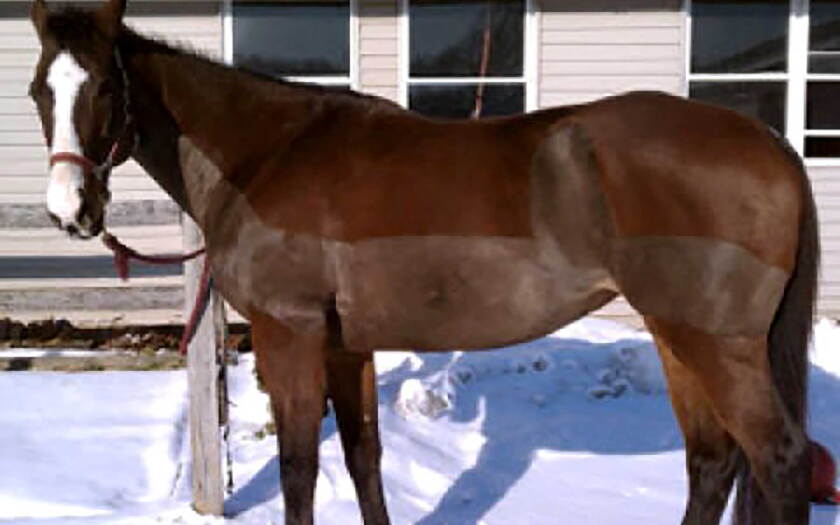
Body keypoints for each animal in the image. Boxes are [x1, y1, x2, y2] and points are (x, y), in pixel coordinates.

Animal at [28, 0, 819, 523]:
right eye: (39, 89)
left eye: (105, 87)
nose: (71, 209)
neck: (266, 153)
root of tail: (771, 143)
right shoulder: (345, 346)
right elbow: (362, 457)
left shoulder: (290, 335)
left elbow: (299, 467)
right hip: (675, 335)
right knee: (713, 462)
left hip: (715, 344)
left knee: (781, 461)